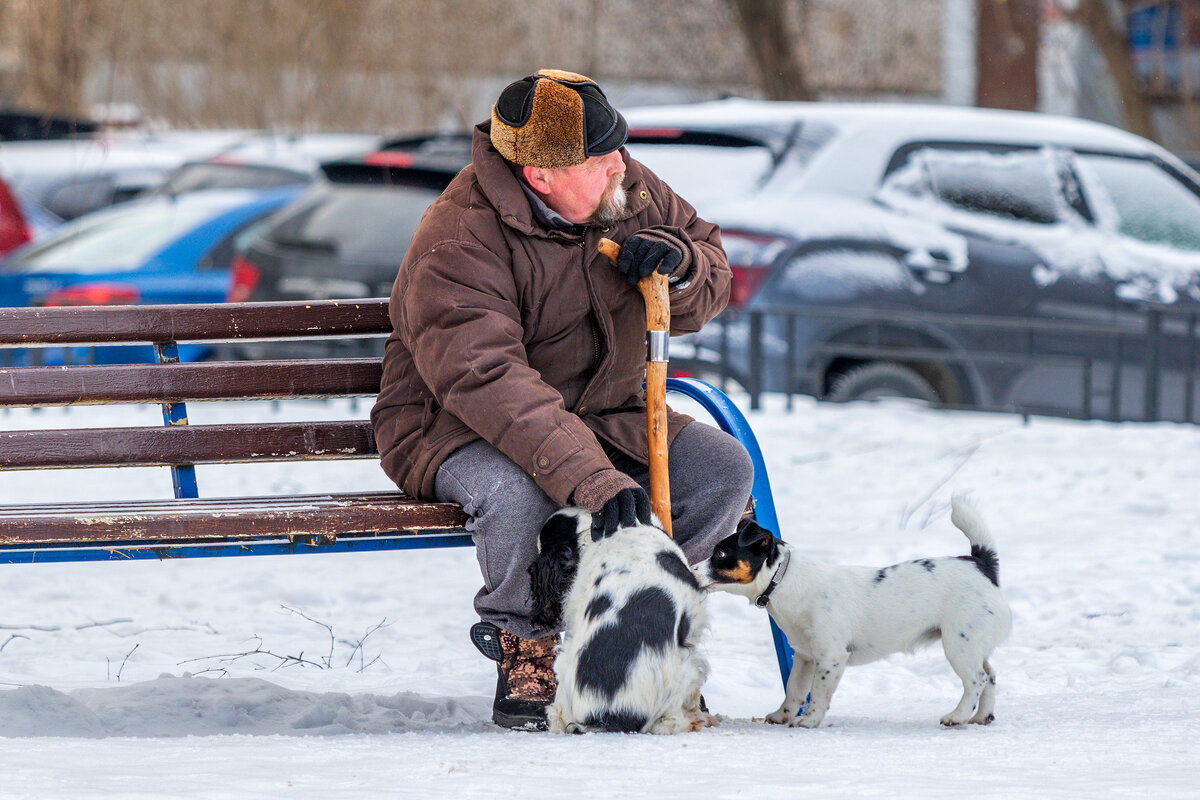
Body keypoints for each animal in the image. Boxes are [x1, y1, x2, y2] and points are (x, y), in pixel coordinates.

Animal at [696, 494, 1012, 724]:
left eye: (720, 554)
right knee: (990, 675)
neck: (783, 580)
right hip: (973, 644)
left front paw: (809, 721)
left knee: (976, 679)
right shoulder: (805, 656)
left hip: (959, 644)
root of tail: (981, 564)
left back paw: (957, 716)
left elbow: (818, 693)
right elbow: (794, 691)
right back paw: (982, 716)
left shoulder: (831, 657)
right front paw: (781, 716)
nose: (690, 569)